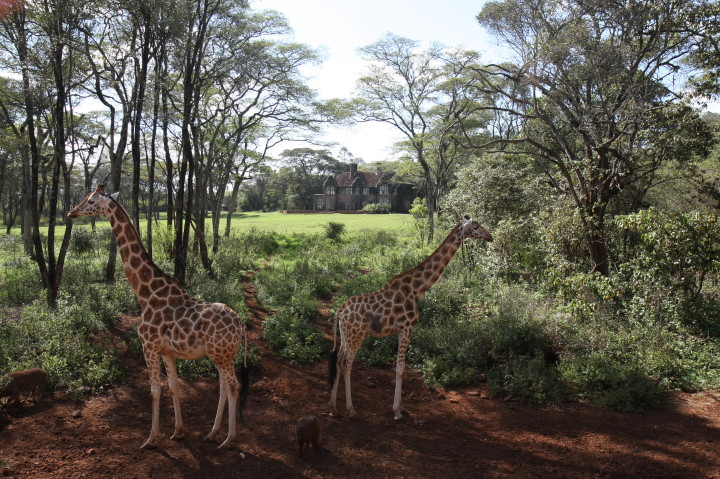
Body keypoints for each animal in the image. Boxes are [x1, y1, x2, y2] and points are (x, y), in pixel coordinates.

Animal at [68, 185, 249, 450]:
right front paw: (178, 431)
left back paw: (228, 439)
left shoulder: (149, 346)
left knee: (234, 386)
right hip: (223, 354)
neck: (145, 292)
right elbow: (173, 387)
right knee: (224, 386)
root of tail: (241, 324)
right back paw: (212, 433)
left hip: (221, 354)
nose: (71, 212)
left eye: (91, 200)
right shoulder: (167, 352)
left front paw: (151, 439)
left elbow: (154, 391)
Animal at [328, 217, 492, 420]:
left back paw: (333, 408)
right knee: (347, 363)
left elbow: (401, 368)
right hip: (356, 335)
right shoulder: (406, 327)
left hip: (346, 335)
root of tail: (340, 311)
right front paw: (397, 411)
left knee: (338, 360)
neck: (417, 289)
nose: (490, 236)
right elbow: (400, 369)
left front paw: (402, 408)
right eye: (476, 227)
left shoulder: (405, 329)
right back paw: (350, 409)